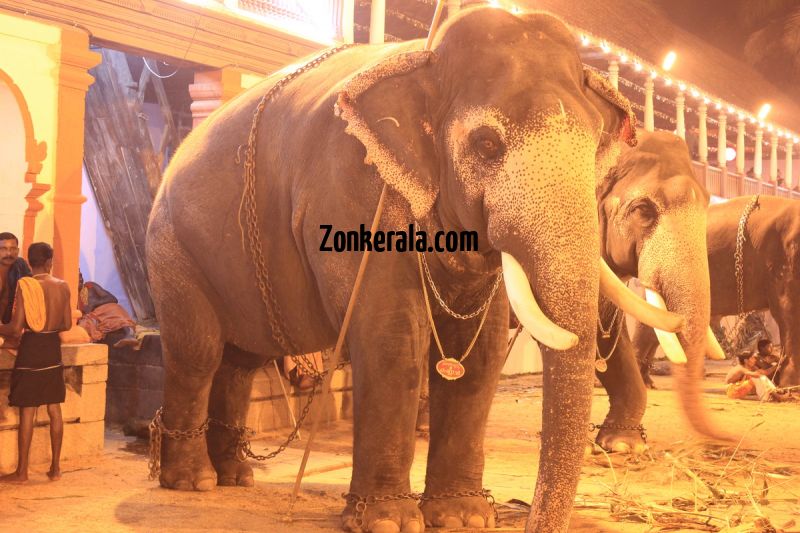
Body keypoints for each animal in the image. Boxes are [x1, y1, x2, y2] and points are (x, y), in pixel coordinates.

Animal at [147, 8, 680, 532]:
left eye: (594, 150)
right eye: (487, 145)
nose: (527, 517)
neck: (424, 59)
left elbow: (482, 347)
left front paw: (463, 518)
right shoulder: (353, 192)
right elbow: (392, 334)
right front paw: (387, 521)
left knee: (241, 360)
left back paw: (236, 476)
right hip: (171, 245)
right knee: (199, 352)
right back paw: (193, 482)